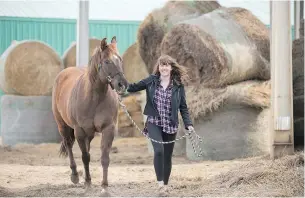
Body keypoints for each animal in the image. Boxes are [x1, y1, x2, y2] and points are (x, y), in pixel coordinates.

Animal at [51, 36, 127, 194]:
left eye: (120, 59)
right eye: (107, 61)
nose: (122, 84)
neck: (94, 98)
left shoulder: (108, 129)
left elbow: (104, 157)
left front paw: (104, 186)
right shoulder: (79, 130)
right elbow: (85, 157)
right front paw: (87, 182)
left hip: (90, 133)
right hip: (63, 126)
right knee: (69, 145)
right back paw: (75, 175)